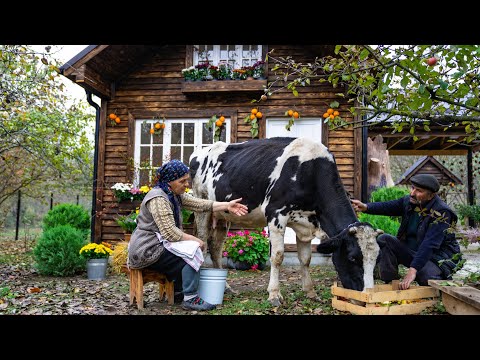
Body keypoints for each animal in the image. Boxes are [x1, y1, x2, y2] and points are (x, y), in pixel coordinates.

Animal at [189, 136, 384, 306]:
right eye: (352, 258)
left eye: (376, 258)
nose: (365, 297)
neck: (310, 171)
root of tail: (200, 152)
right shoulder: (276, 214)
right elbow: (277, 257)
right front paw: (274, 295)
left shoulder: (306, 224)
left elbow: (305, 259)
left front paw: (310, 292)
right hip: (202, 205)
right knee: (203, 243)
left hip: (223, 215)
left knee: (215, 248)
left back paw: (227, 287)